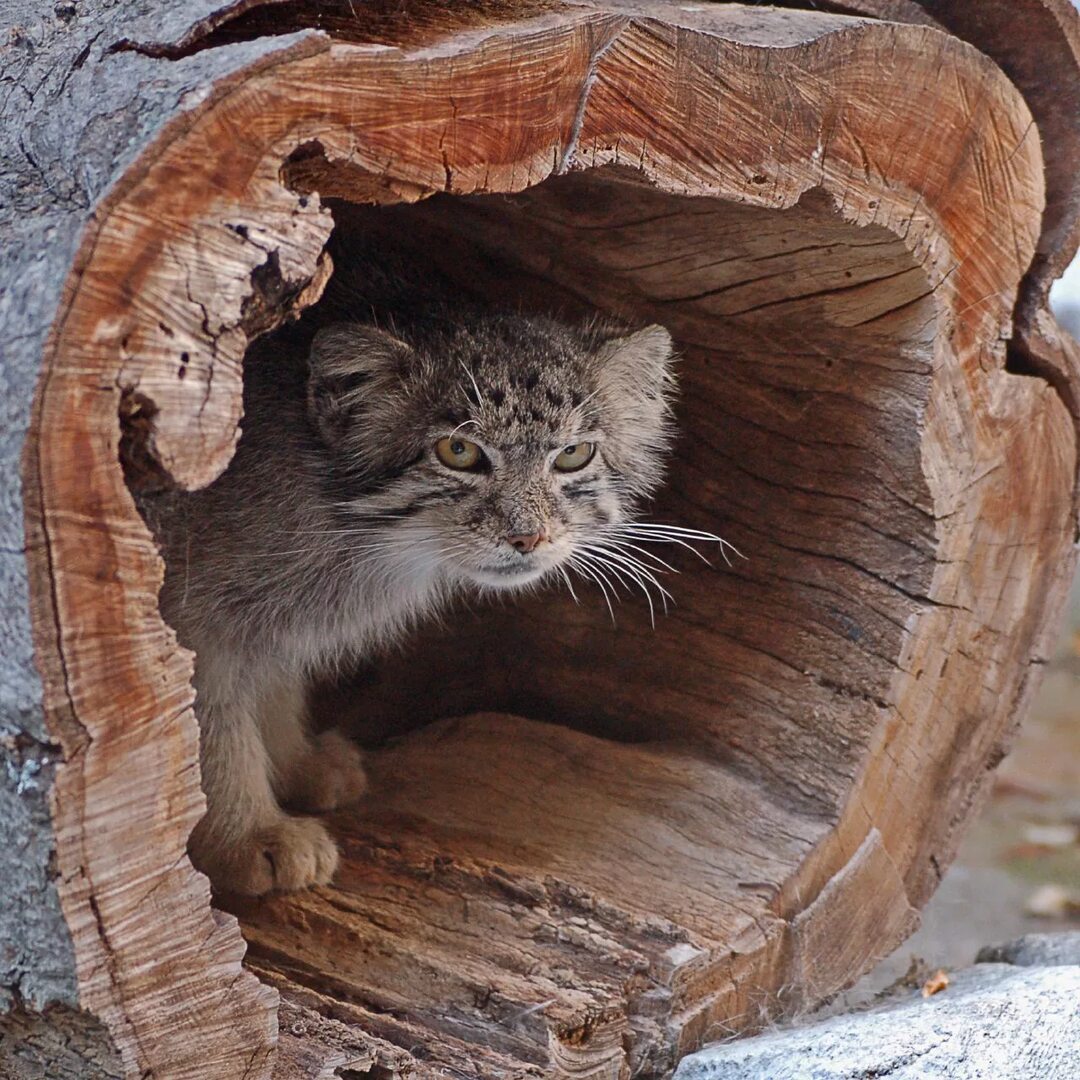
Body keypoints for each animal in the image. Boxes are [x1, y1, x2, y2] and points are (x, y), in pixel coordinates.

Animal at [143, 243, 717, 894]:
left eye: (574, 454)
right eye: (458, 452)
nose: (528, 538)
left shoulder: (261, 612)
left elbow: (272, 675)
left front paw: (295, 760)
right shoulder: (190, 610)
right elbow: (207, 722)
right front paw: (249, 835)